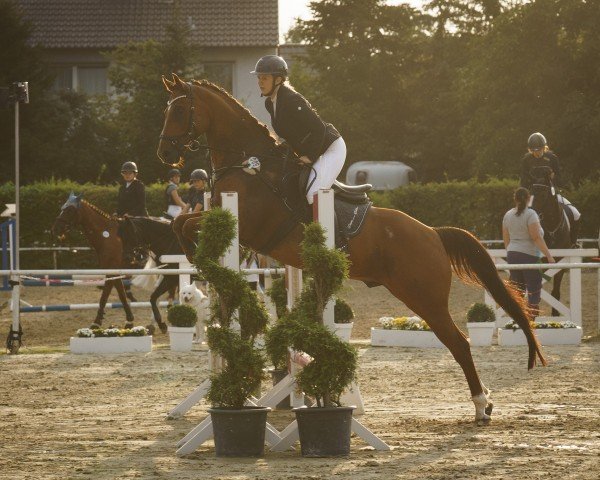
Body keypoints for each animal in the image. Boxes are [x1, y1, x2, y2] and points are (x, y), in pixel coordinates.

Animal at [51, 193, 136, 328]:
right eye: (62, 208)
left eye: (70, 210)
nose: (55, 229)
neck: (106, 235)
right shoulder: (114, 271)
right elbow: (121, 294)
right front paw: (129, 320)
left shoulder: (111, 271)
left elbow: (104, 296)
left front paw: (96, 322)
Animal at [157, 74, 548, 420]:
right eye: (167, 109)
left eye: (180, 110)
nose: (164, 153)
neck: (249, 165)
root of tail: (433, 233)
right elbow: (179, 223)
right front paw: (195, 260)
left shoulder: (251, 226)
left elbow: (186, 225)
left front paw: (197, 257)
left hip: (426, 297)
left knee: (460, 343)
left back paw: (482, 407)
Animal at [532, 167, 576, 316]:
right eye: (532, 191)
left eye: (543, 193)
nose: (531, 212)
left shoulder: (559, 263)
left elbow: (555, 292)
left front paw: (555, 314)